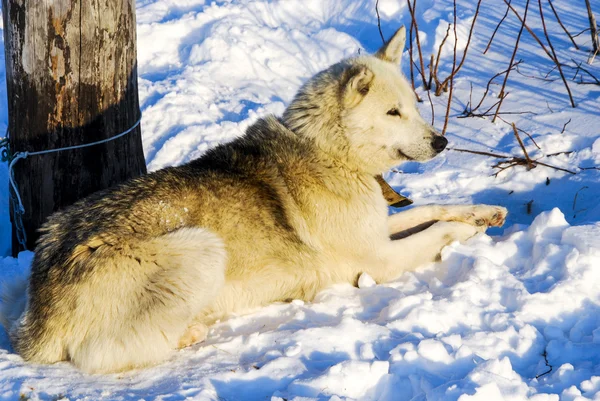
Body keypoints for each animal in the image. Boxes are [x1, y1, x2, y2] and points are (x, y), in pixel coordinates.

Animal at [0, 27, 506, 372]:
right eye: (392, 113)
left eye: (413, 107)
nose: (442, 142)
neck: (329, 152)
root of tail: (36, 316)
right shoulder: (377, 260)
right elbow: (438, 227)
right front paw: (468, 232)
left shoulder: (379, 229)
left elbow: (435, 207)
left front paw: (485, 213)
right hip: (203, 246)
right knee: (101, 355)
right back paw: (191, 331)